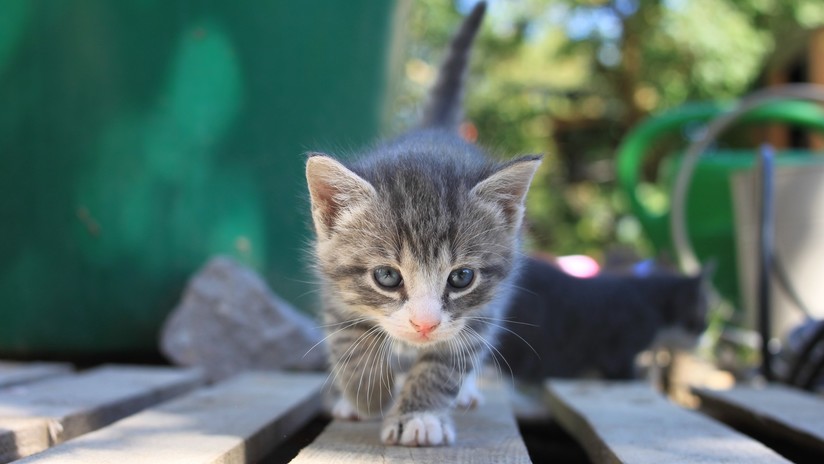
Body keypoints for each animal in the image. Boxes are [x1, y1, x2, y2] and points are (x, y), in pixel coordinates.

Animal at [306, 1, 536, 448]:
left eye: (462, 277)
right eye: (387, 277)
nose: (425, 324)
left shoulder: (484, 309)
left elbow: (445, 363)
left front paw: (419, 415)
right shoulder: (332, 289)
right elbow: (348, 341)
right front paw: (367, 395)